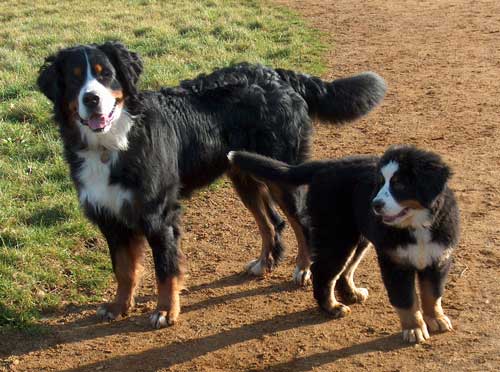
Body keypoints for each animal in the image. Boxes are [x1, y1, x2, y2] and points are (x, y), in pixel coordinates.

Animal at [37, 41, 386, 328]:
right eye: (74, 79)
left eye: (106, 74)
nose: (92, 98)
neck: (112, 143)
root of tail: (276, 74)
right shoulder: (110, 216)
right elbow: (124, 270)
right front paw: (118, 307)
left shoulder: (159, 215)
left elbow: (166, 269)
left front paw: (165, 311)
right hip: (245, 174)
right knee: (271, 223)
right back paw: (265, 262)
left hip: (282, 175)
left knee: (301, 223)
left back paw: (303, 268)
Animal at [229, 145, 458, 342]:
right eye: (380, 183)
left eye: (399, 183)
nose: (375, 204)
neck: (417, 225)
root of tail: (325, 165)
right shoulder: (394, 263)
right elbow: (406, 300)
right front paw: (414, 329)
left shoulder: (438, 258)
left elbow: (432, 294)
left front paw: (436, 319)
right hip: (337, 237)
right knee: (323, 272)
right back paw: (331, 307)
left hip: (356, 237)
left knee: (344, 271)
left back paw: (351, 294)